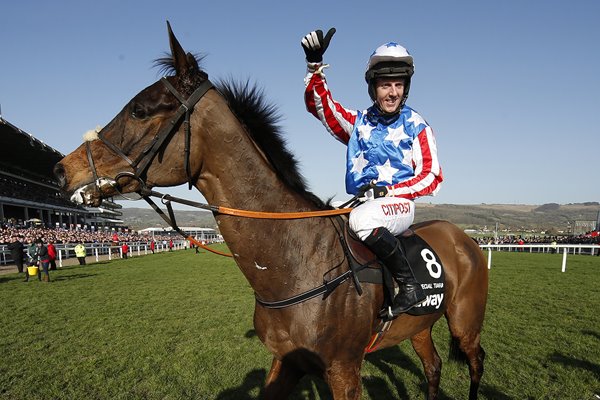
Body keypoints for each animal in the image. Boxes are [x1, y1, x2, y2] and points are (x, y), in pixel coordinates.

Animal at [54, 23, 488, 398]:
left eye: (140, 110)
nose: (62, 169)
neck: (296, 263)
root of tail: (463, 239)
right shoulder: (287, 361)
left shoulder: (344, 371)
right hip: (419, 326)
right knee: (433, 367)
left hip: (465, 322)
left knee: (475, 361)